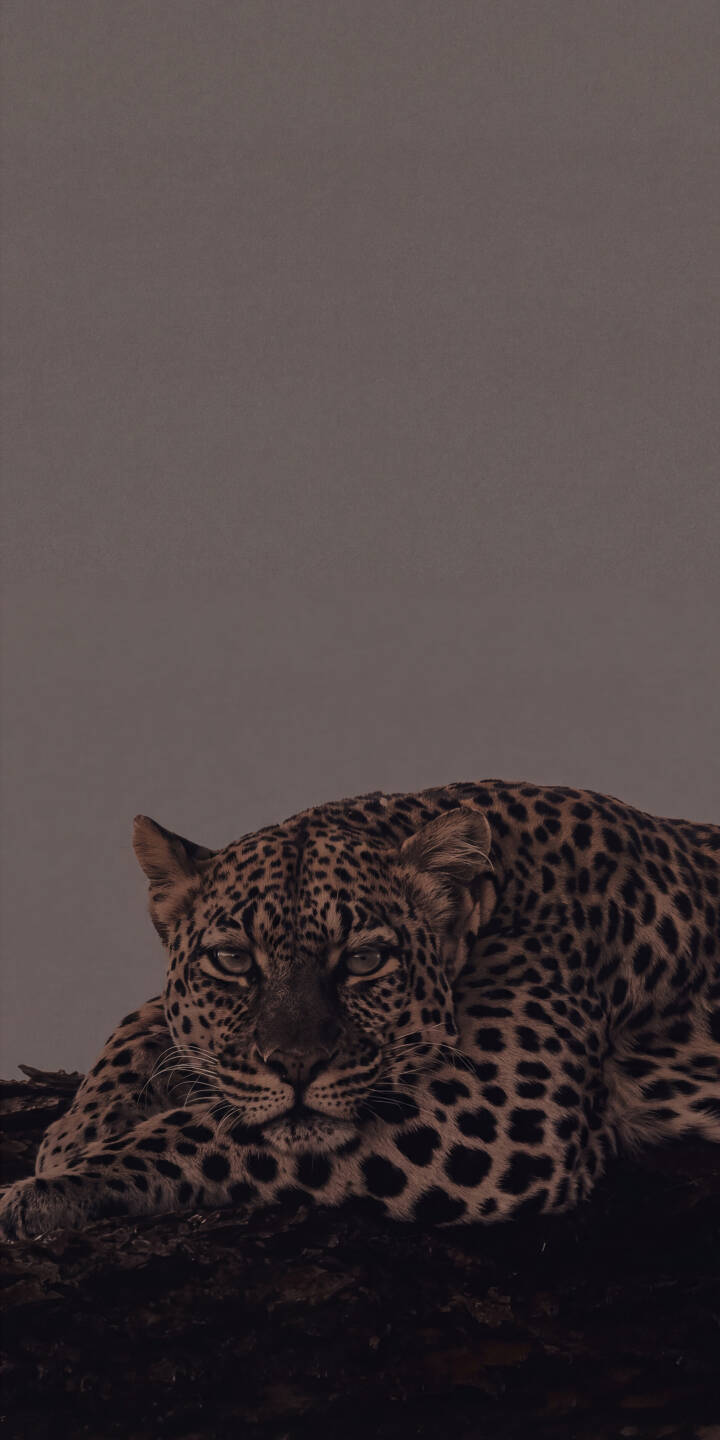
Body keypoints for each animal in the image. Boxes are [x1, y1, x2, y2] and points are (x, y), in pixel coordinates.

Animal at [1, 778, 718, 1241]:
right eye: (232, 960)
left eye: (365, 960)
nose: (296, 1066)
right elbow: (144, 1022)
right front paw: (75, 1132)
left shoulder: (503, 1111)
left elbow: (205, 1129)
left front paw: (52, 1190)